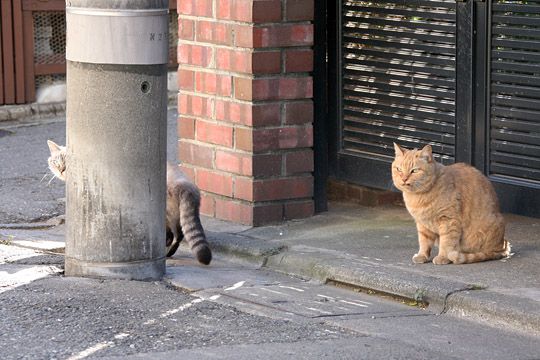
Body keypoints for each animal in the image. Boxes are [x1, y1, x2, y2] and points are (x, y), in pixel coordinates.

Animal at [46, 140, 211, 264]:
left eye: (68, 161)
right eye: (56, 162)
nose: (61, 170)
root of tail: (187, 186)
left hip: (166, 215)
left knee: (176, 235)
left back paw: (167, 253)